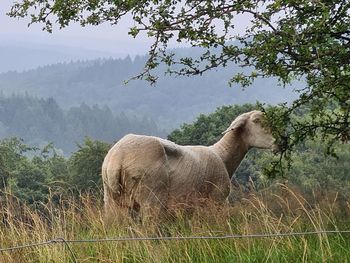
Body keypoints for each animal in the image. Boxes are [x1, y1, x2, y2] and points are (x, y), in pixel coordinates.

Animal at [101, 110, 278, 222]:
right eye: (256, 121)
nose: (279, 141)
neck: (222, 155)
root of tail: (118, 157)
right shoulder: (217, 200)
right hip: (151, 198)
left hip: (111, 200)